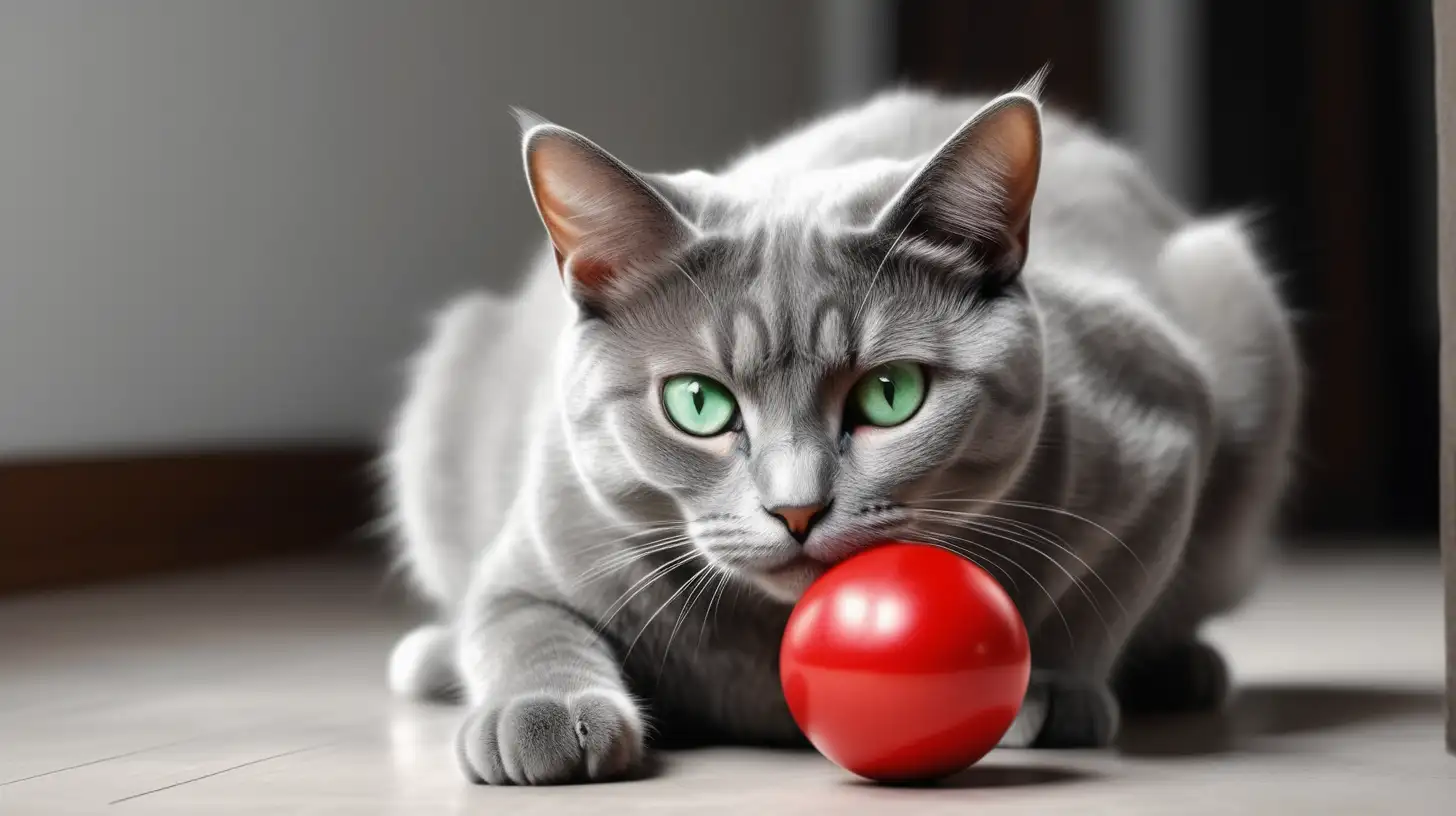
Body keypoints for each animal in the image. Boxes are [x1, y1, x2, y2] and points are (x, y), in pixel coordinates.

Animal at [384, 81, 1298, 786]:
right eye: (698, 404)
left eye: (891, 395)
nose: (797, 509)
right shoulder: (548, 532)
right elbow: (518, 621)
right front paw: (540, 714)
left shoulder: (1157, 431)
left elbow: (1101, 593)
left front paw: (1057, 688)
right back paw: (430, 656)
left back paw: (1183, 669)